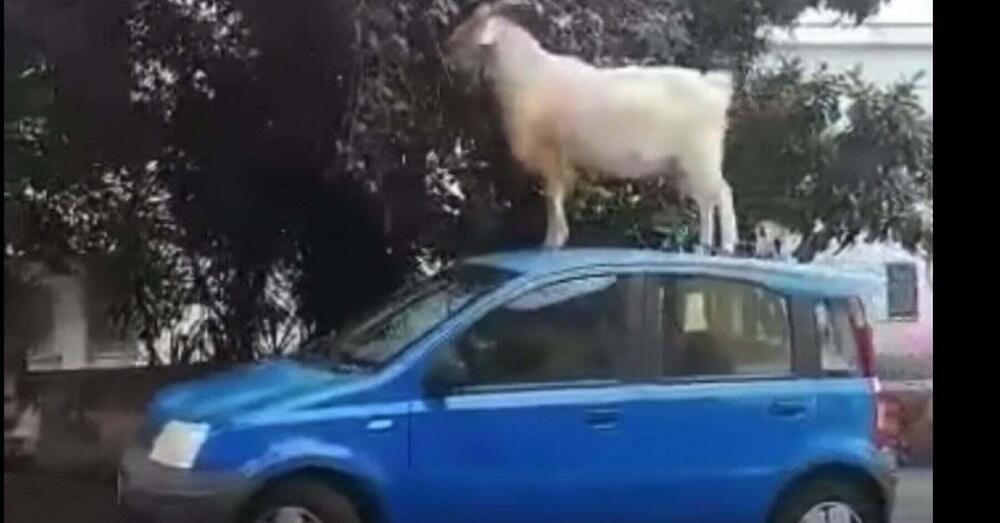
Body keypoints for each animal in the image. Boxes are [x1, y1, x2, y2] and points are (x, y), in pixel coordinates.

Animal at [442, 2, 740, 252]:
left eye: (474, 27)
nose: (447, 49)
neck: (526, 75)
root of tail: (716, 87)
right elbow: (555, 197)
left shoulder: (551, 154)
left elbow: (551, 198)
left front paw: (552, 241)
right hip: (684, 164)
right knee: (706, 200)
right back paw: (705, 244)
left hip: (701, 155)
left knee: (722, 192)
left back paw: (726, 244)